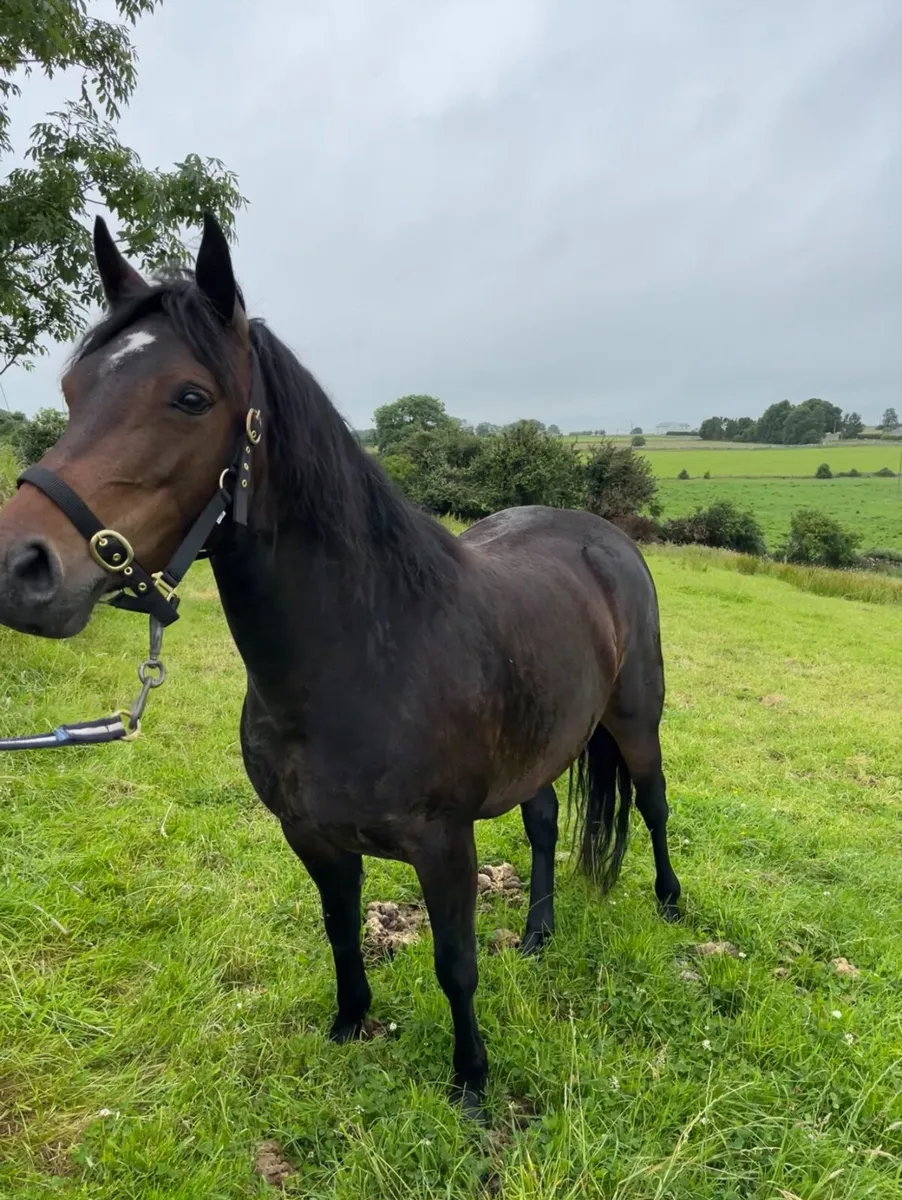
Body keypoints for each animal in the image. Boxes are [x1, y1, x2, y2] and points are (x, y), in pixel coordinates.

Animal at [0, 215, 681, 1119]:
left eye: (190, 397)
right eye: (74, 390)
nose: (21, 568)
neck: (362, 659)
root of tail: (604, 538)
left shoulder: (444, 844)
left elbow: (456, 964)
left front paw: (471, 1082)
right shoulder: (312, 838)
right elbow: (340, 928)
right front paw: (350, 1022)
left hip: (635, 721)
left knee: (654, 805)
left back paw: (672, 905)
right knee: (542, 821)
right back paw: (538, 935)